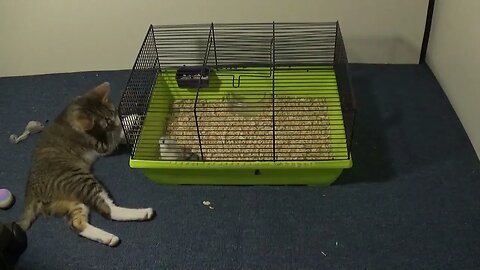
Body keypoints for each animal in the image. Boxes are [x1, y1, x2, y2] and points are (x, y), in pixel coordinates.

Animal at [15, 81, 154, 247]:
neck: (72, 111)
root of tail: (31, 190)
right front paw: (132, 119)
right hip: (82, 181)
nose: (113, 121)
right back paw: (142, 212)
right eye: (106, 123)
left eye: (113, 112)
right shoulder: (101, 145)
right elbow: (115, 135)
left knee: (77, 223)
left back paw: (108, 238)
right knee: (108, 210)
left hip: (73, 200)